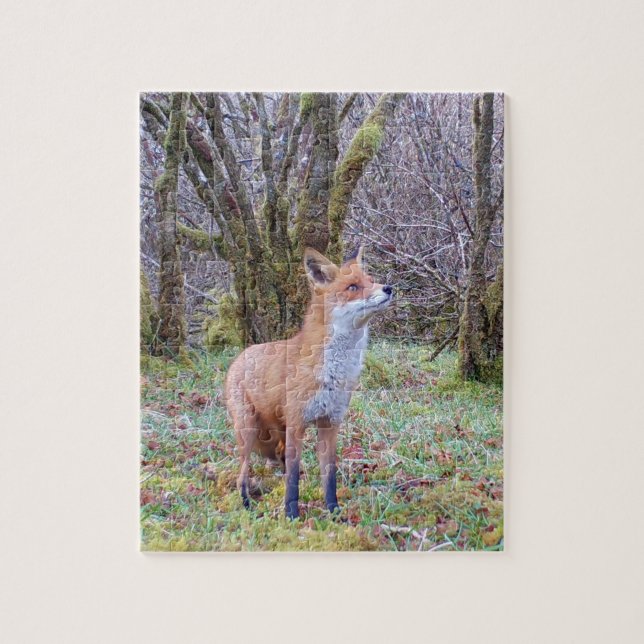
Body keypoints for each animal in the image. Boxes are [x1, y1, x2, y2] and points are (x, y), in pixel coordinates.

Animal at [224, 246, 393, 519]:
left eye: (371, 280)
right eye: (353, 287)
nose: (388, 288)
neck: (334, 373)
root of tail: (240, 356)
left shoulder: (330, 423)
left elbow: (329, 476)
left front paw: (334, 513)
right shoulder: (297, 423)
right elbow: (293, 478)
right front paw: (291, 515)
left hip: (276, 431)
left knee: (279, 459)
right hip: (248, 430)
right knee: (243, 472)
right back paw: (246, 504)